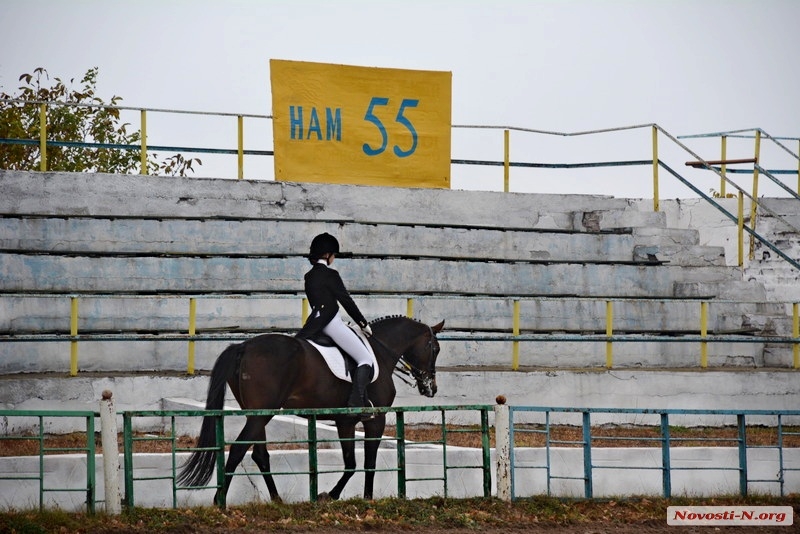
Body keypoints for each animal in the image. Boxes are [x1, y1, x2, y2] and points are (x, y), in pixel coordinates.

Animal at [176, 316, 446, 508]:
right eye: (435, 348)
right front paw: (367, 498)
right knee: (238, 451)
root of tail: (244, 346)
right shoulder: (376, 419)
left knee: (260, 455)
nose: (431, 388)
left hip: (257, 414)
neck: (379, 353)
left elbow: (351, 463)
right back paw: (219, 500)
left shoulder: (345, 421)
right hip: (262, 413)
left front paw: (330, 495)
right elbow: (369, 461)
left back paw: (276, 500)